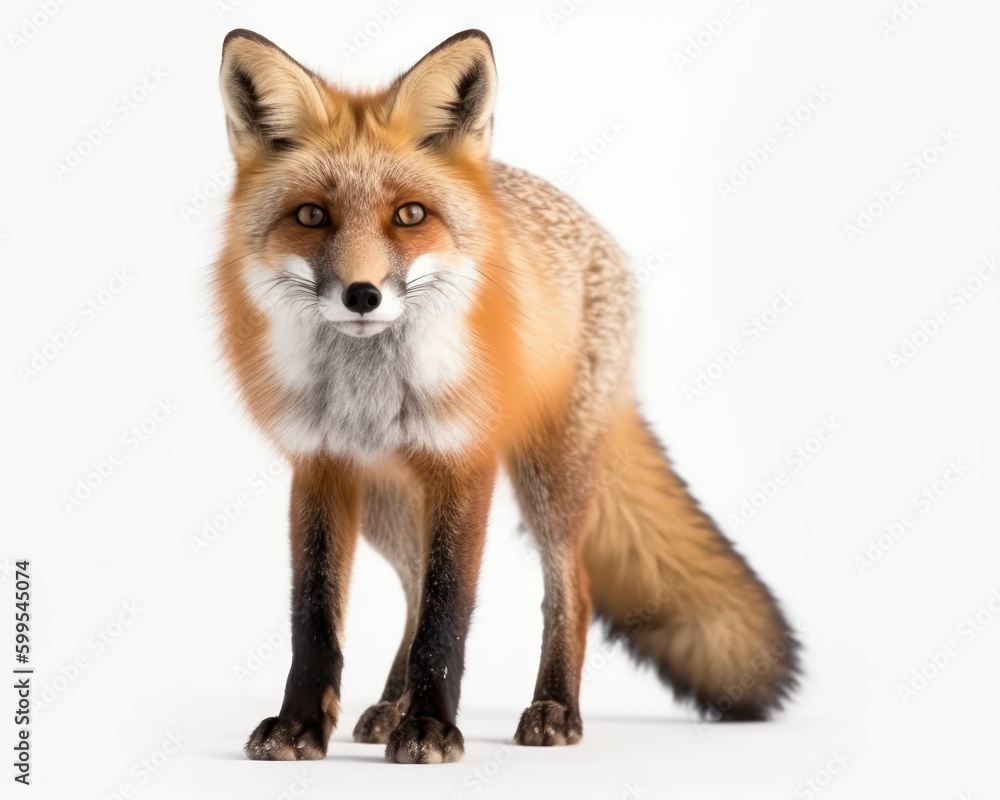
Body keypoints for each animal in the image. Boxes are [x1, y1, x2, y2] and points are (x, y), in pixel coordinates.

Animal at [213, 28, 800, 764]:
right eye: (311, 215)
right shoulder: (321, 468)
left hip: (547, 474)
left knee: (569, 590)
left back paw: (553, 709)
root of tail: (594, 231)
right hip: (387, 503)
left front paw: (431, 728)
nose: (362, 294)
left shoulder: (466, 464)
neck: (371, 395)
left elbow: (447, 615)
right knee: (411, 588)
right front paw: (300, 725)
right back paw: (388, 706)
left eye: (410, 215)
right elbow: (316, 618)